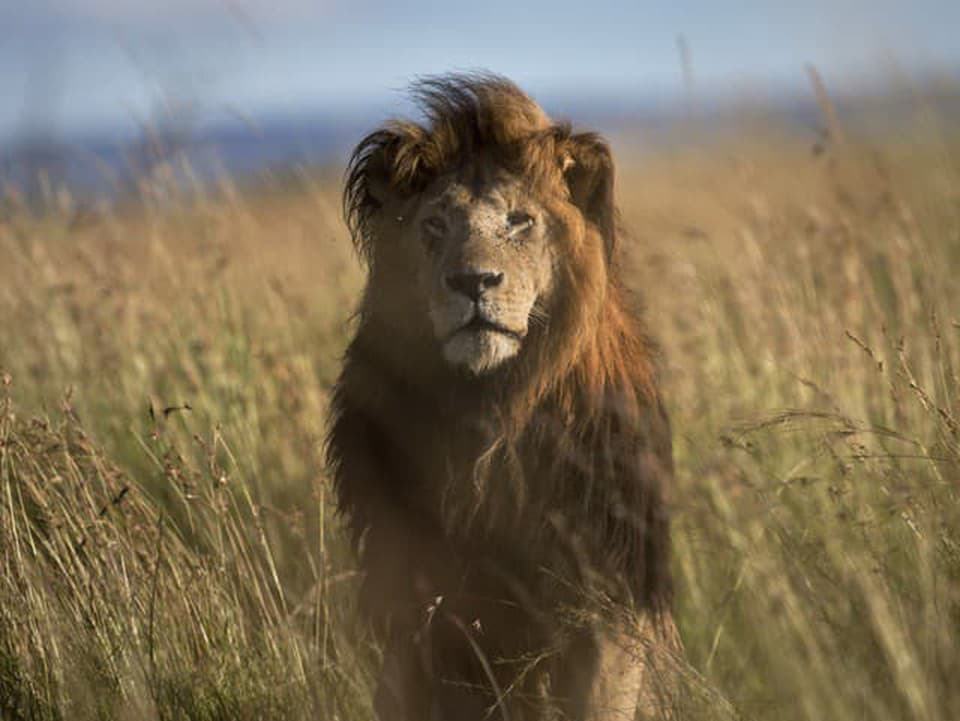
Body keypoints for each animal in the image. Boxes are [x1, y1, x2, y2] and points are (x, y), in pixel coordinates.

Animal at [330, 74, 684, 720]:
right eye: (435, 226)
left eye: (519, 222)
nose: (473, 281)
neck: (491, 411)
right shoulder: (422, 607)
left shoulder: (608, 598)